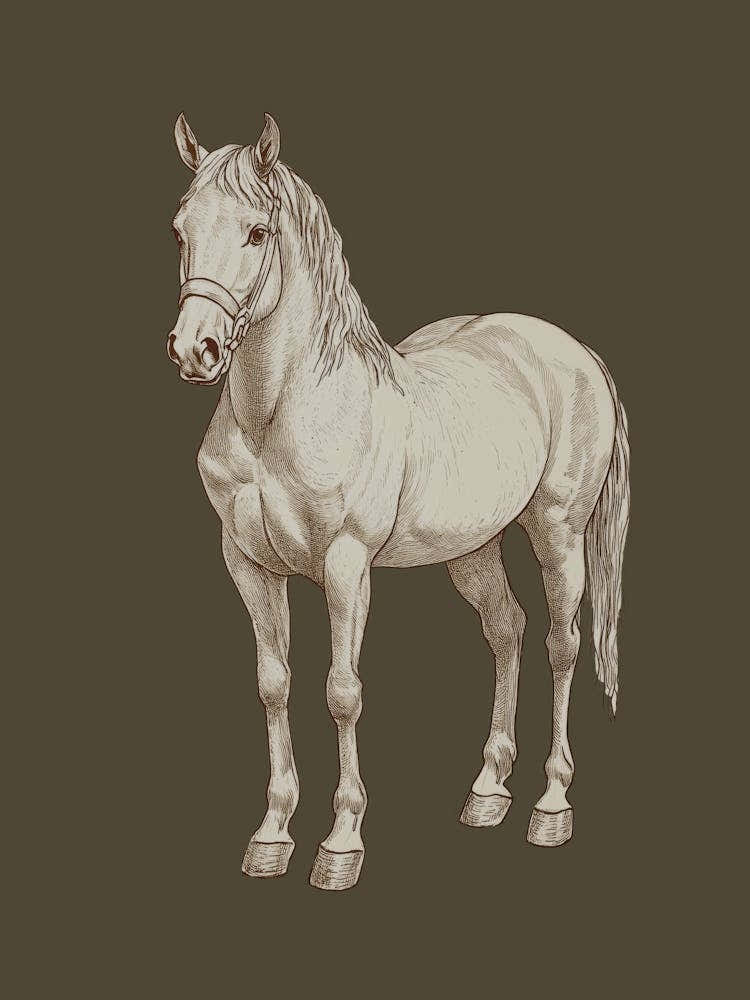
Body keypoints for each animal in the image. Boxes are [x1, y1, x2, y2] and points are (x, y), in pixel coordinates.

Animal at [165, 112, 630, 891]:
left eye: (258, 232)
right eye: (180, 228)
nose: (193, 350)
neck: (282, 413)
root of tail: (574, 353)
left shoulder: (346, 567)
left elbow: (341, 691)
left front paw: (341, 843)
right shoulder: (248, 566)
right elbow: (273, 685)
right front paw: (271, 835)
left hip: (558, 533)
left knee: (561, 643)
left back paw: (550, 805)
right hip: (472, 550)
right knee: (506, 629)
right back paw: (487, 791)